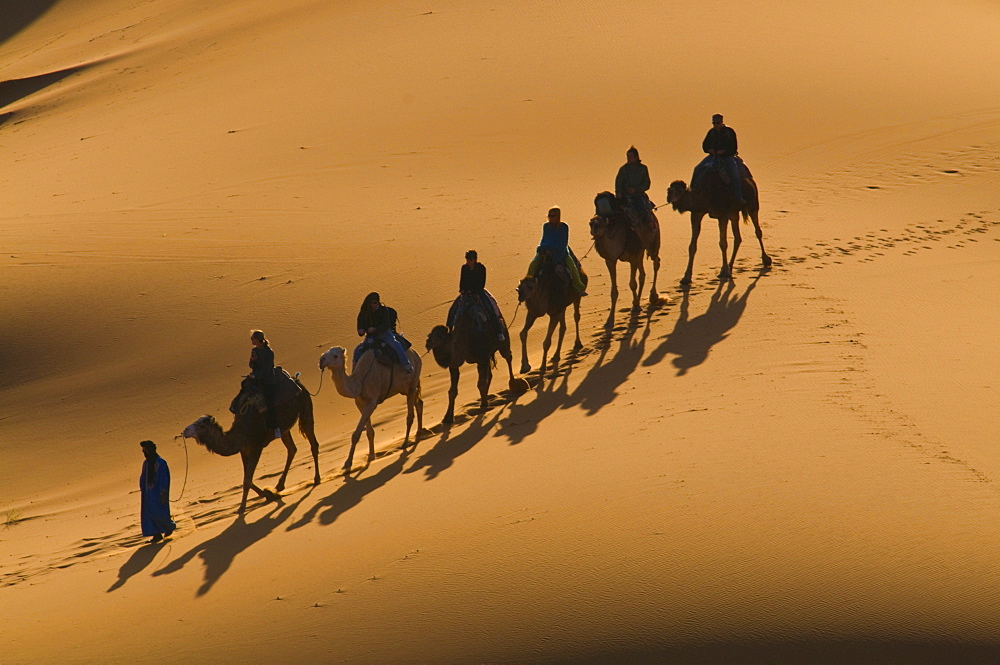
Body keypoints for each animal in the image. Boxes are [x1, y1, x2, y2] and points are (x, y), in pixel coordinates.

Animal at [181, 378, 320, 512]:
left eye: (201, 425)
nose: (185, 430)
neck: (242, 432)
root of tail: (298, 383)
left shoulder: (256, 447)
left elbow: (247, 480)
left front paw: (242, 508)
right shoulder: (244, 450)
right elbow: (247, 477)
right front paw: (267, 494)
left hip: (305, 407)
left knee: (313, 443)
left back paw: (316, 479)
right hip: (284, 429)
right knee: (292, 449)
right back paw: (279, 486)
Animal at [320, 342, 422, 472]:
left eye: (335, 356)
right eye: (325, 352)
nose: (321, 360)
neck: (359, 381)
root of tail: (415, 353)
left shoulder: (371, 402)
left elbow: (356, 434)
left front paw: (348, 463)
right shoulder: (360, 402)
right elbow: (369, 432)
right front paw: (371, 456)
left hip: (412, 382)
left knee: (410, 415)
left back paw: (405, 443)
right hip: (405, 389)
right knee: (418, 403)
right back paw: (419, 433)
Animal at [520, 250, 584, 378]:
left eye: (530, 287)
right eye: (519, 286)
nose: (520, 295)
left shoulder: (554, 312)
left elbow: (546, 342)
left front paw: (542, 367)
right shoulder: (533, 312)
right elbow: (523, 333)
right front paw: (525, 366)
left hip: (576, 297)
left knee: (576, 317)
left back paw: (577, 344)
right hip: (562, 307)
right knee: (563, 327)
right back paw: (556, 356)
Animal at [588, 191, 660, 328]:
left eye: (601, 223)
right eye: (591, 223)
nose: (594, 226)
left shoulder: (633, 257)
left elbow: (632, 284)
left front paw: (636, 306)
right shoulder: (610, 260)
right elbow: (613, 291)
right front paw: (609, 321)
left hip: (653, 242)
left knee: (656, 262)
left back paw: (653, 296)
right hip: (640, 252)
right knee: (642, 274)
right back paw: (637, 302)